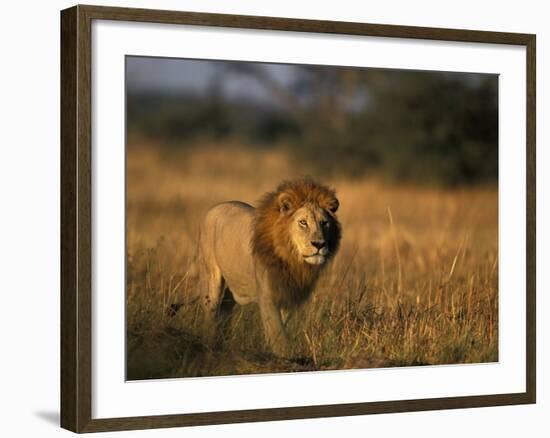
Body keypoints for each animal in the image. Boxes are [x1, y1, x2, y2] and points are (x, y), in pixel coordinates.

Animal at [192, 179, 342, 356]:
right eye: (303, 222)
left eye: (324, 223)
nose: (319, 244)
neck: (292, 259)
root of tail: (214, 207)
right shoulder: (267, 296)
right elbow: (277, 332)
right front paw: (286, 356)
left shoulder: (289, 294)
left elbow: (283, 327)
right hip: (210, 277)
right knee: (211, 312)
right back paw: (209, 344)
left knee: (224, 312)